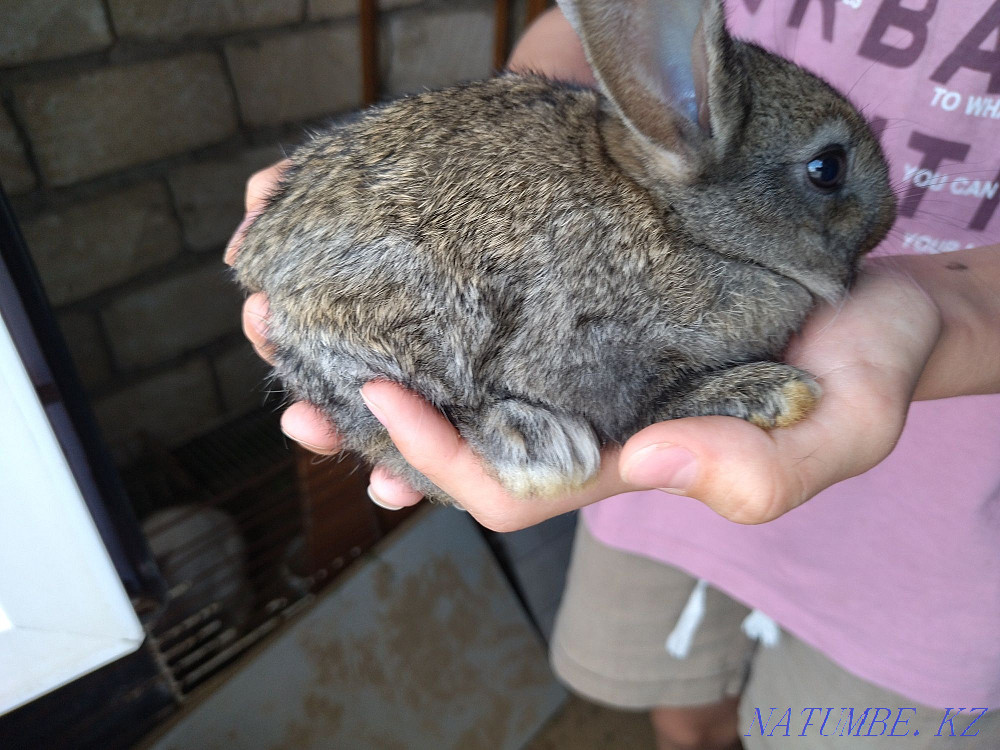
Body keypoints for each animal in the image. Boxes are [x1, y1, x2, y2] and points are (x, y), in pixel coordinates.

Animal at [234, 0, 897, 505]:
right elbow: (641, 411)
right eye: (827, 168)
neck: (681, 222)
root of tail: (259, 268)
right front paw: (767, 392)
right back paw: (534, 441)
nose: (889, 220)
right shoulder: (591, 347)